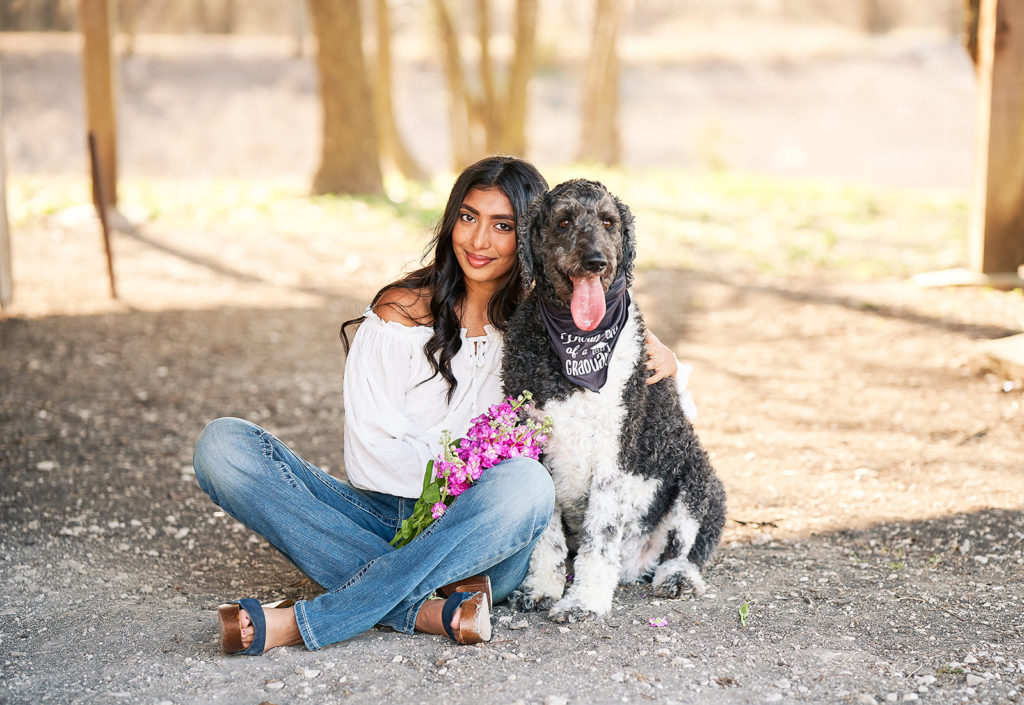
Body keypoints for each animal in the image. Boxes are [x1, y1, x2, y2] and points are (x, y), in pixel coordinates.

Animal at [499, 180, 724, 623]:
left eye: (608, 222)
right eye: (564, 221)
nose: (596, 262)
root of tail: (636, 565)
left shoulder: (613, 453)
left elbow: (600, 536)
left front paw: (584, 600)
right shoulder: (533, 442)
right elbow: (546, 538)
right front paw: (541, 589)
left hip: (698, 477)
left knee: (687, 546)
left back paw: (677, 577)